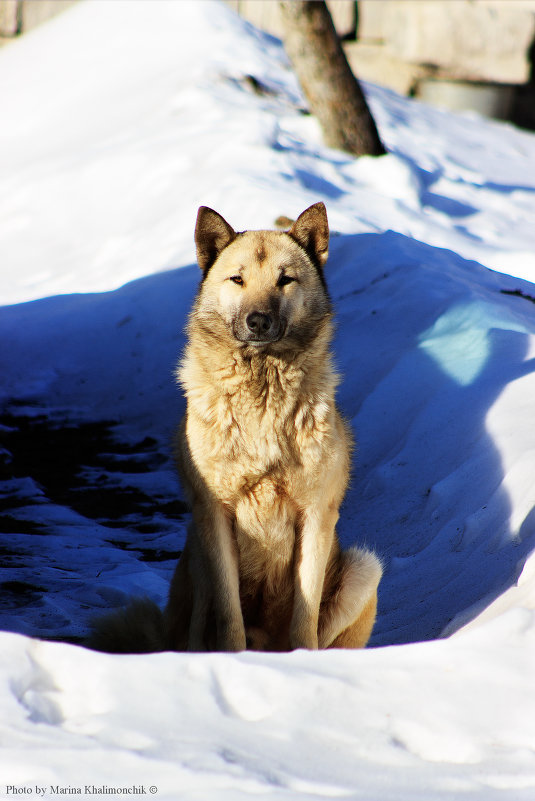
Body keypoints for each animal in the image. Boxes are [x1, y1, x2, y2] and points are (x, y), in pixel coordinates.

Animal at [89, 203, 382, 652]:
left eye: (285, 279)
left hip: (364, 568)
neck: (261, 392)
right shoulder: (215, 516)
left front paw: (304, 659)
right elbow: (229, 615)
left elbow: (306, 612)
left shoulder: (316, 515)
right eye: (237, 279)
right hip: (196, 559)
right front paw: (232, 657)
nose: (258, 320)